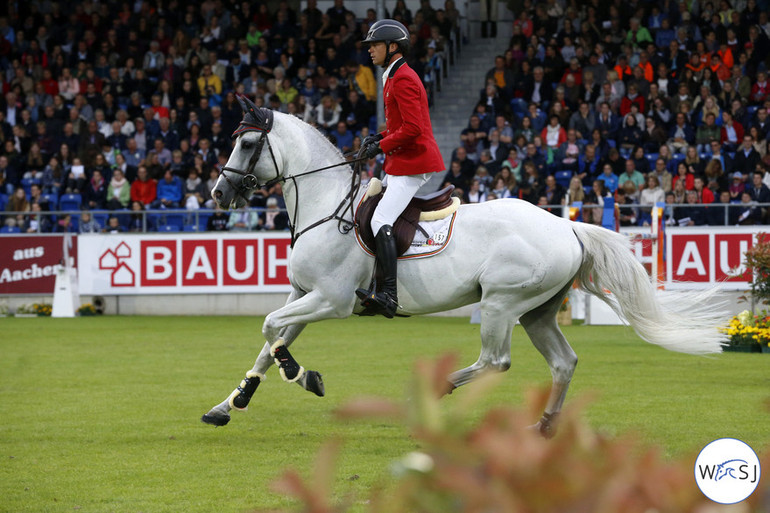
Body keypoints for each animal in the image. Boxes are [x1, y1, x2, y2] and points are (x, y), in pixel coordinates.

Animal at [201, 98, 724, 434]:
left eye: (247, 144)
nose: (219, 194)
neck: (328, 206)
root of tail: (566, 226)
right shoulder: (302, 295)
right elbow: (269, 341)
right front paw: (230, 404)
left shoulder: (330, 300)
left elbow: (270, 329)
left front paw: (303, 376)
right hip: (537, 312)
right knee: (563, 361)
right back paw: (544, 426)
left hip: (500, 304)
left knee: (496, 361)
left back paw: (432, 395)